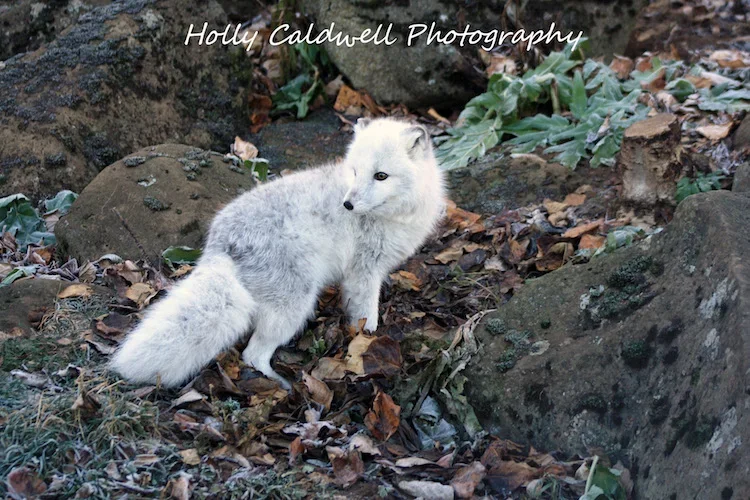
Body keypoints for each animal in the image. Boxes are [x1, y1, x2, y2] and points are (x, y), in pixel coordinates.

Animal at [110, 118, 446, 389]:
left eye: (380, 176)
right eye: (354, 172)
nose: (347, 204)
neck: (393, 214)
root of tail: (219, 243)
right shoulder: (363, 271)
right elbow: (365, 311)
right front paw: (369, 335)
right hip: (294, 304)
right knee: (252, 355)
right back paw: (280, 383)